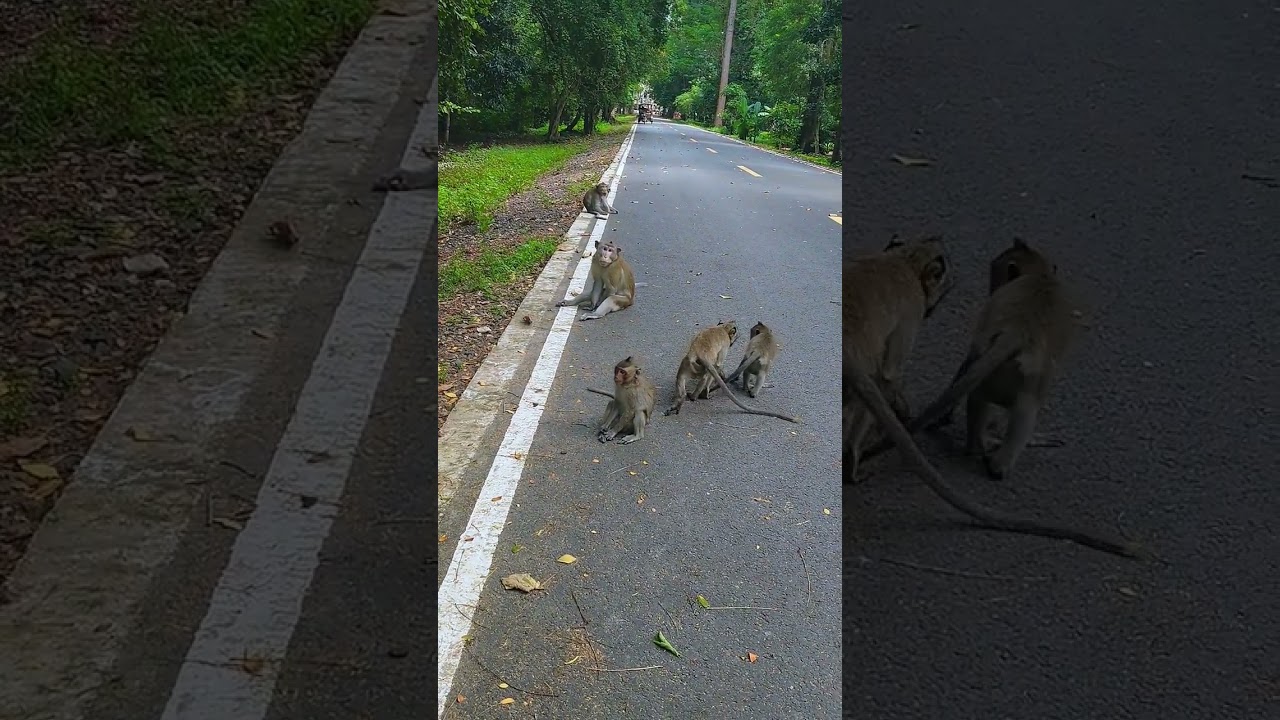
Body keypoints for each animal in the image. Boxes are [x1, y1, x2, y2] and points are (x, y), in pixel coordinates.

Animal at [663, 321, 799, 423]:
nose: (735, 339)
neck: (722, 328)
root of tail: (698, 353)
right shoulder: (725, 344)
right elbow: (719, 364)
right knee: (711, 373)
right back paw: (700, 395)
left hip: (687, 364)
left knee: (682, 379)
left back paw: (681, 400)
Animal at [842, 236, 1144, 559]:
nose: (989, 286)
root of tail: (1017, 333)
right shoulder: (912, 309)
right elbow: (889, 374)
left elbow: (964, 366)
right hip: (1024, 378)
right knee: (1023, 410)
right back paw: (993, 458)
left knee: (979, 395)